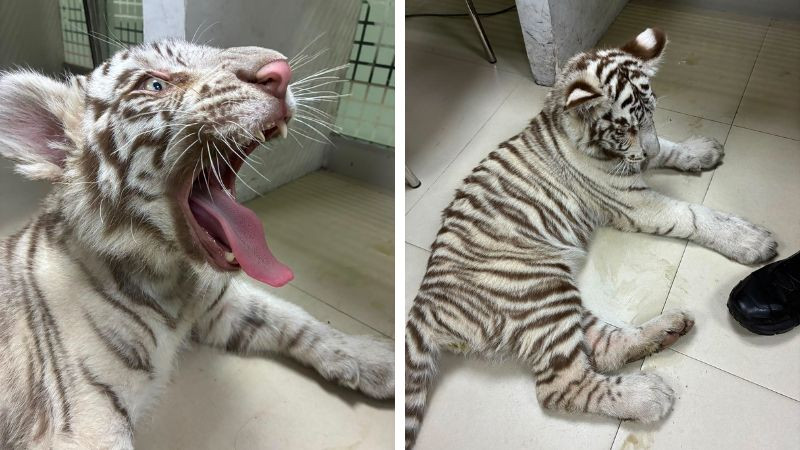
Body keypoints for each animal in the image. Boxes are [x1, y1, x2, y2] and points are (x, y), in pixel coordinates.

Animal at [0, 39, 394, 449]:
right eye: (154, 85)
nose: (281, 72)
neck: (172, 278)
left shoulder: (218, 305)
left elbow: (292, 316)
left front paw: (376, 360)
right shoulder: (89, 421)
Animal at [404, 28, 777, 448]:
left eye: (651, 114)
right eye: (624, 127)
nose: (645, 154)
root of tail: (424, 303)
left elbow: (668, 146)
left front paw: (700, 149)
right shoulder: (635, 202)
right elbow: (694, 215)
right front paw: (748, 239)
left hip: (547, 301)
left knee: (605, 348)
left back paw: (669, 329)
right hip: (539, 291)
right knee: (561, 387)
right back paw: (650, 395)